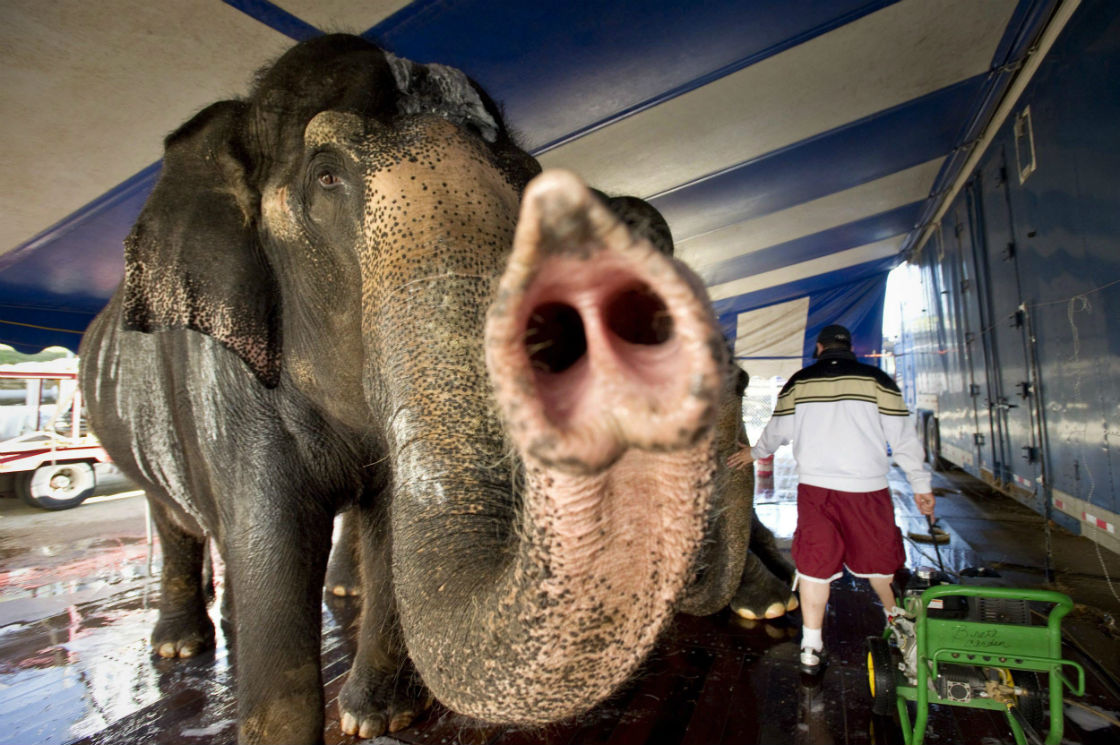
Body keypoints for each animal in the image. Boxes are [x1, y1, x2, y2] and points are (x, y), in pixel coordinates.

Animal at [79, 34, 791, 744]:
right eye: (325, 176)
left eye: (528, 183)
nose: (729, 372)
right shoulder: (227, 383)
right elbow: (271, 544)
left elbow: (392, 525)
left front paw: (377, 717)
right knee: (174, 517)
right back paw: (183, 645)